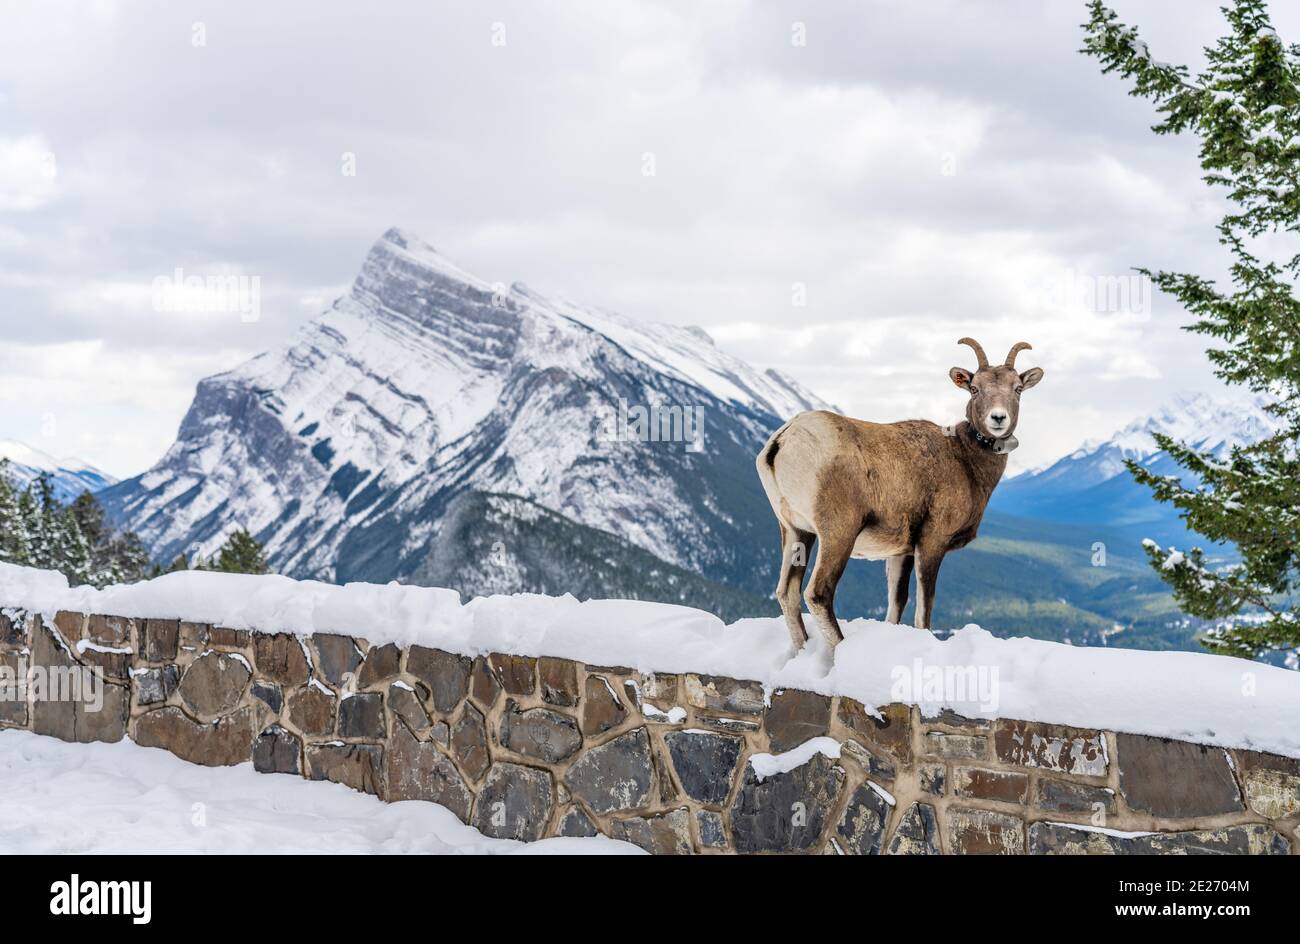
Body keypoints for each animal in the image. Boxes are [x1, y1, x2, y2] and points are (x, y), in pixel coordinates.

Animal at [759, 340, 1040, 657]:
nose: (998, 418)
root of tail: (782, 442)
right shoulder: (931, 543)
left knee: (787, 593)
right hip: (838, 533)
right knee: (818, 592)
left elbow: (897, 601)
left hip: (796, 532)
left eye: (1018, 388)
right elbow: (924, 607)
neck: (966, 460)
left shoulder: (900, 552)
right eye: (974, 388)